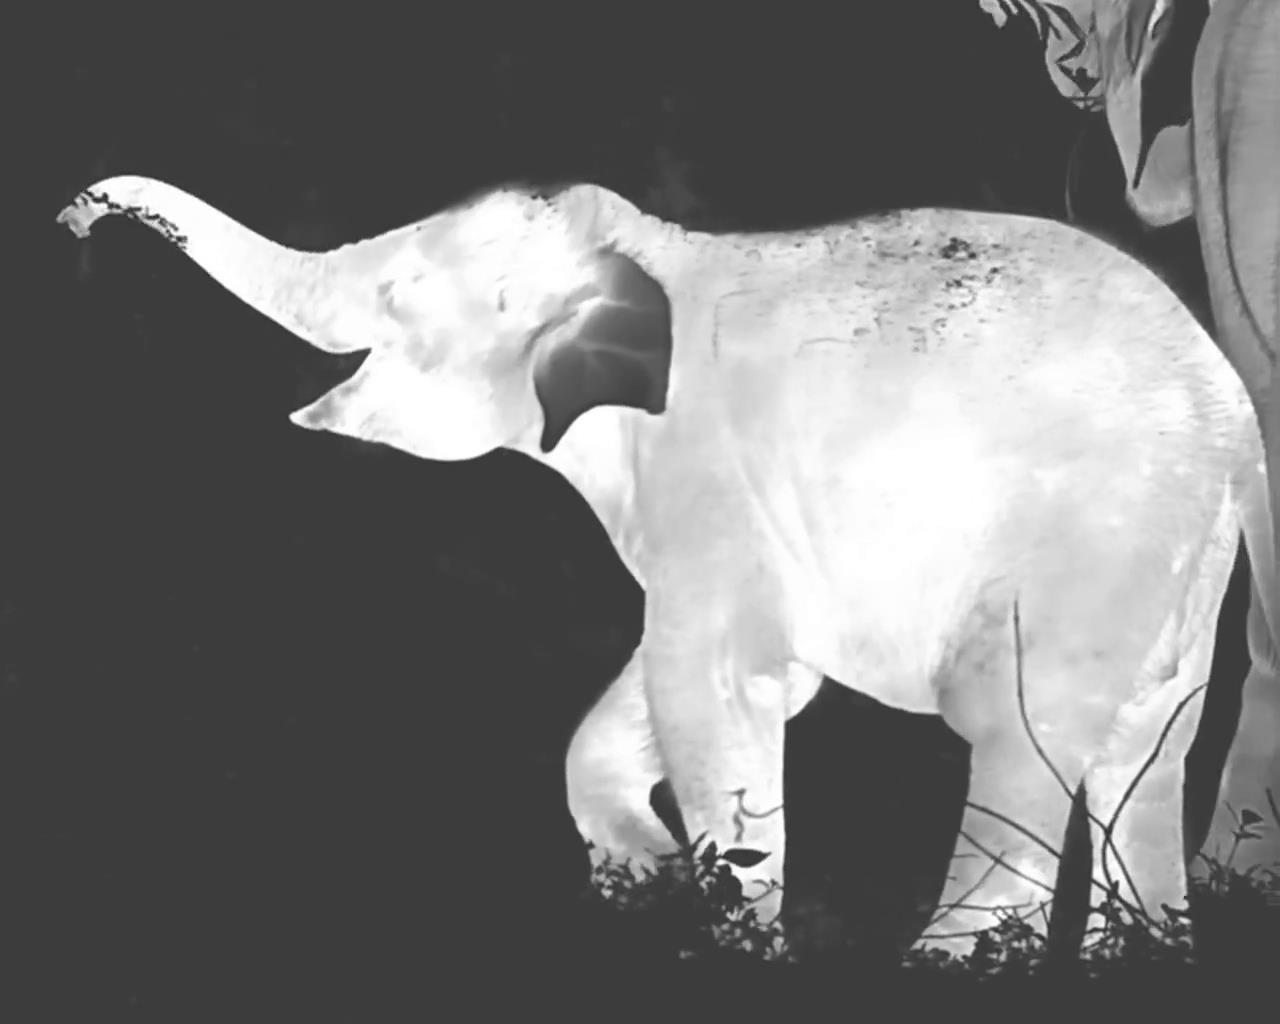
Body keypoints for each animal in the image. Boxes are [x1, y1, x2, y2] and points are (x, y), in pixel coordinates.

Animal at [57, 174, 1274, 957]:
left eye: (400, 295)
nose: (70, 219)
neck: (648, 252)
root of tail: (1236, 423)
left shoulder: (709, 480)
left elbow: (715, 685)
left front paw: (724, 935)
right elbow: (668, 689)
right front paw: (641, 882)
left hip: (1087, 542)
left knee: (1017, 739)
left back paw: (941, 970)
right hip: (1169, 571)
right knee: (1138, 766)